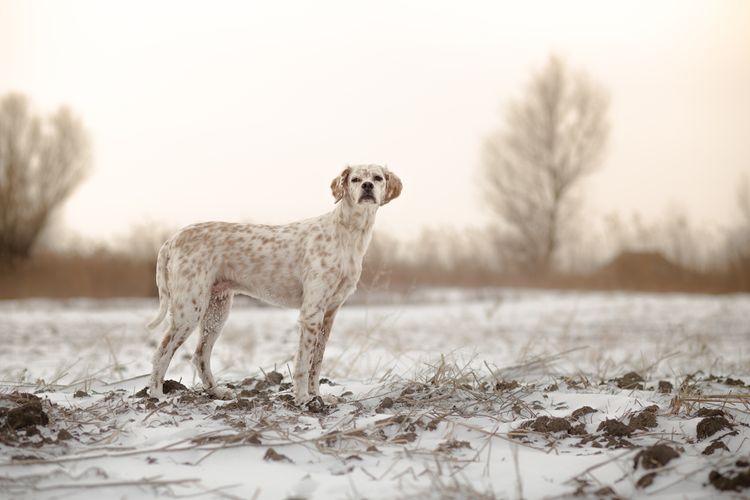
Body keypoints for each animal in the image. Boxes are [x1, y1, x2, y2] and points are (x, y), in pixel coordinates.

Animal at [148, 164, 406, 406]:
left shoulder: (329, 314)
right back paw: (157, 396)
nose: (367, 187)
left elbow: (317, 363)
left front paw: (317, 396)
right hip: (189, 311)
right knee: (161, 352)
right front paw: (303, 399)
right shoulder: (311, 313)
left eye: (377, 178)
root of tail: (171, 241)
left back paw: (217, 392)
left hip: (215, 311)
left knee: (200, 355)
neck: (348, 233)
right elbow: (303, 363)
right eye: (355, 179)